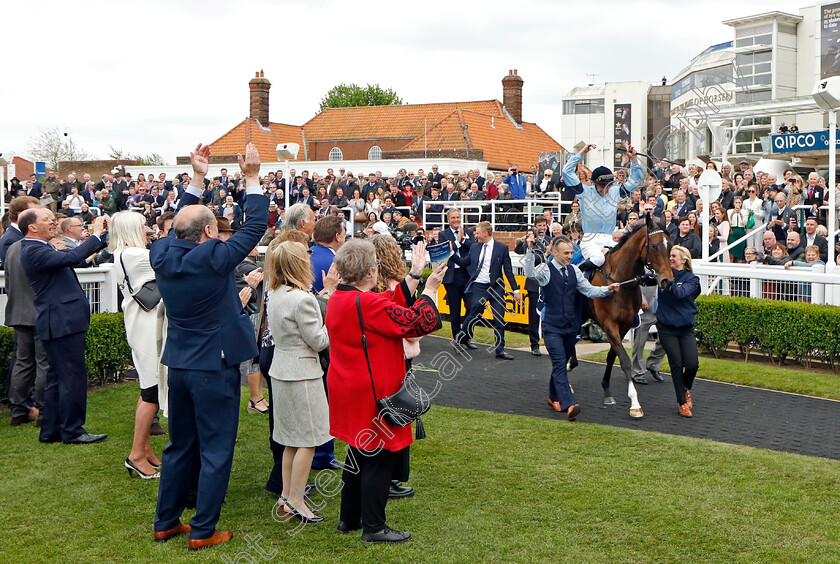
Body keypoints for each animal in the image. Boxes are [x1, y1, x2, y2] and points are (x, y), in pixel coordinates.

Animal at [588, 214, 672, 416]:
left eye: (671, 245)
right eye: (654, 245)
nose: (667, 281)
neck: (620, 281)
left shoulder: (624, 324)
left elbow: (612, 356)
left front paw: (607, 391)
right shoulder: (609, 323)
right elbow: (625, 361)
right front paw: (635, 403)